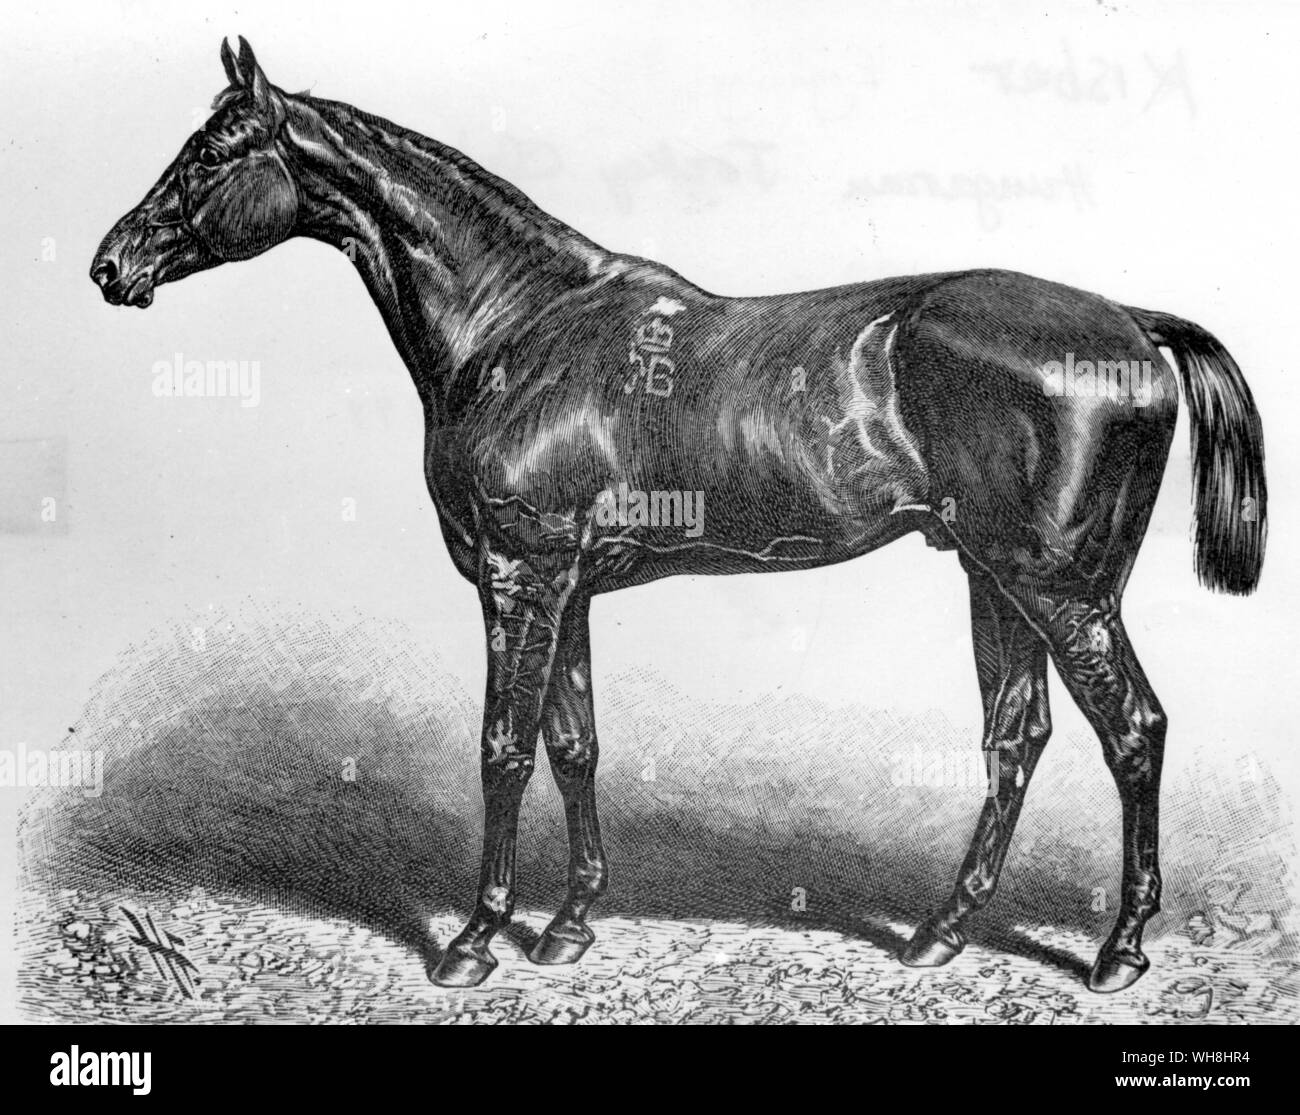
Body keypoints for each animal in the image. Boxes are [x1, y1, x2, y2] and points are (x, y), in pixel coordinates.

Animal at [91, 39, 1267, 993]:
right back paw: (939, 930)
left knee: (1134, 731)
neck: (519, 322)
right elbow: (574, 743)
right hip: (996, 580)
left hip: (1062, 591)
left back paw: (1118, 950)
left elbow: (503, 747)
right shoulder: (566, 587)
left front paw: (474, 938)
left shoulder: (520, 576)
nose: (112, 265)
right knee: (1014, 739)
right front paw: (567, 924)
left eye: (213, 151)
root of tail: (1131, 324)